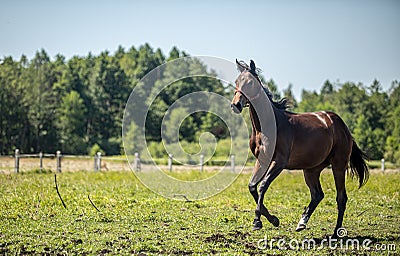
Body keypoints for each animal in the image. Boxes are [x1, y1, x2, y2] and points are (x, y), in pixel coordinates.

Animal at [231, 59, 368, 237]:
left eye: (250, 82)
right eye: (236, 82)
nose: (235, 105)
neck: (267, 126)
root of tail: (342, 125)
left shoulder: (279, 162)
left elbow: (262, 186)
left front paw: (257, 222)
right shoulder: (262, 161)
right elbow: (253, 186)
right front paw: (273, 220)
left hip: (338, 166)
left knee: (341, 197)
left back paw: (335, 233)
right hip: (311, 169)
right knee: (317, 194)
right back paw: (302, 223)